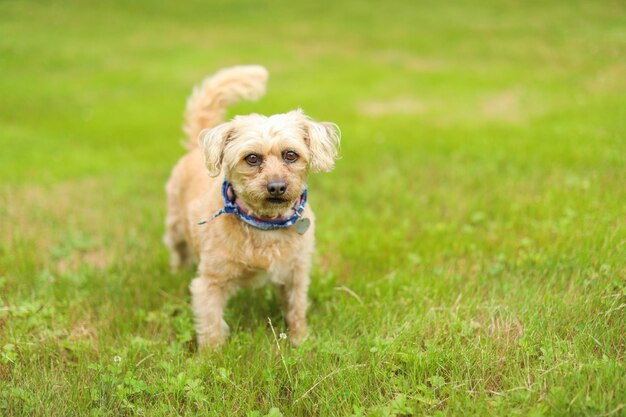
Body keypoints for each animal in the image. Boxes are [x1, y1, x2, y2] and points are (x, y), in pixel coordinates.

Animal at [163, 66, 338, 348]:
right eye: (252, 158)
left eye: (291, 155)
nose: (276, 186)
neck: (265, 225)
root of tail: (194, 150)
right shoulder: (210, 281)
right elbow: (211, 323)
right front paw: (211, 354)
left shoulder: (296, 274)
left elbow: (296, 308)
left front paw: (300, 340)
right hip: (175, 225)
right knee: (177, 250)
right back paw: (176, 271)